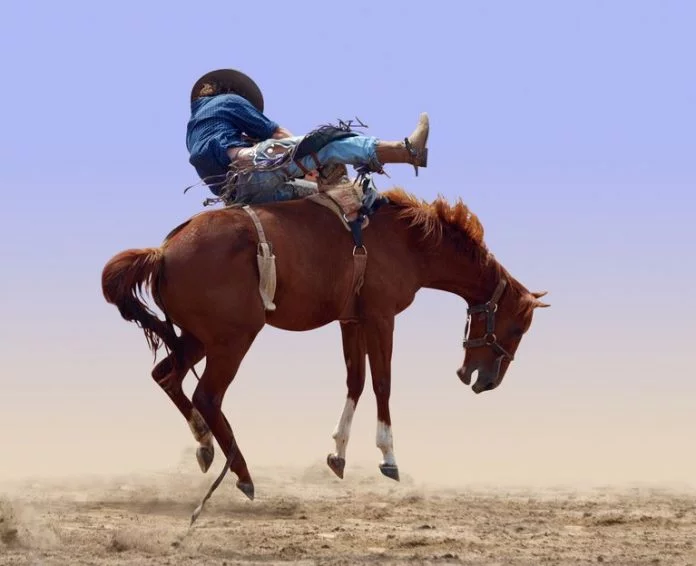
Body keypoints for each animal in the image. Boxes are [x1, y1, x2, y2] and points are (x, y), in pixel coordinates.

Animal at [101, 186, 549, 506]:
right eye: (517, 329)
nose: (483, 380)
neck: (407, 241)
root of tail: (163, 251)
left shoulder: (351, 320)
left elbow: (355, 380)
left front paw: (339, 454)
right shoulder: (381, 318)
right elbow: (382, 383)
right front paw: (388, 457)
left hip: (198, 337)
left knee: (167, 376)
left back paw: (206, 446)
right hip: (233, 339)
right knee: (206, 396)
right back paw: (243, 474)